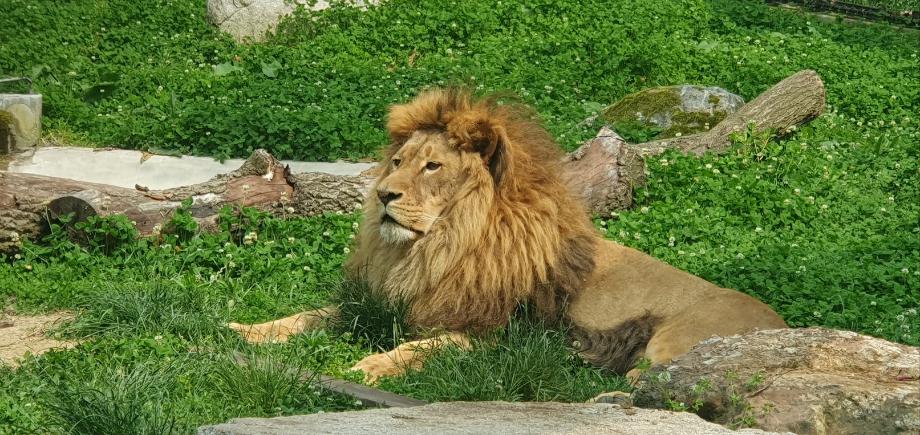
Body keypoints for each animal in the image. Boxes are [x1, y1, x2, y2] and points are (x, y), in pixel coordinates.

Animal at [228, 87, 784, 382]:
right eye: (397, 161)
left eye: (432, 166)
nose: (384, 194)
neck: (434, 249)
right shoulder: (379, 304)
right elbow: (311, 315)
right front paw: (246, 330)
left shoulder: (492, 335)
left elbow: (421, 349)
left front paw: (367, 366)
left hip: (672, 343)